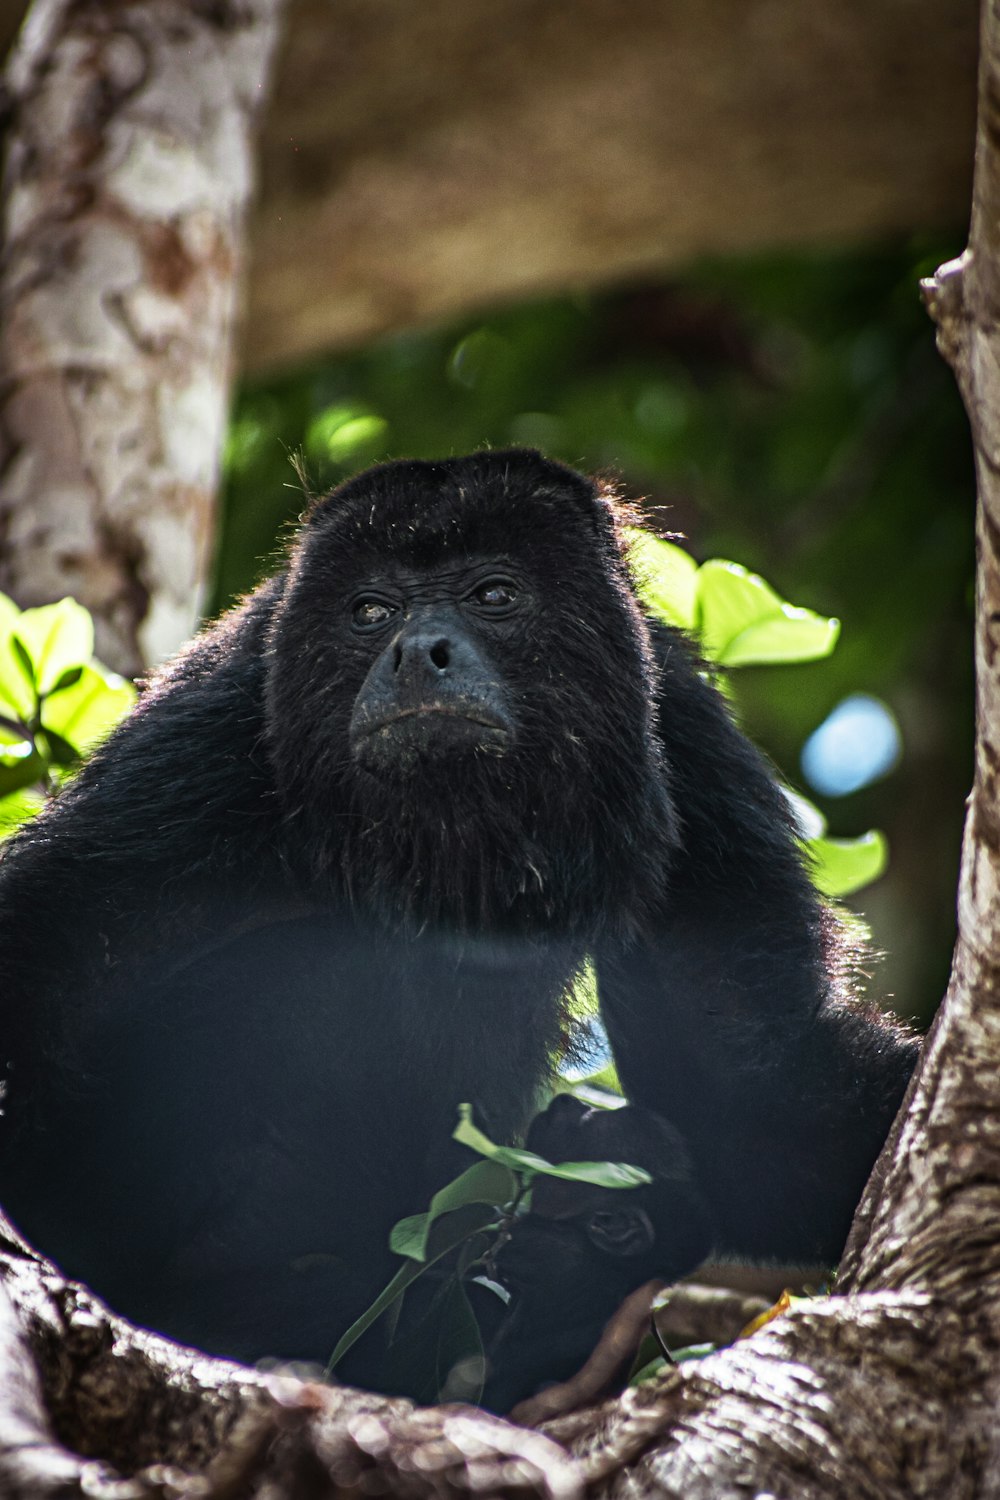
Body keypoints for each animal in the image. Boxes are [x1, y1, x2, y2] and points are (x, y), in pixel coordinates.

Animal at [0, 444, 917, 1392]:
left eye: (494, 594)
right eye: (371, 611)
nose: (415, 652)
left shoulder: (685, 734)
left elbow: (753, 1089)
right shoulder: (216, 718)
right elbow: (52, 943)